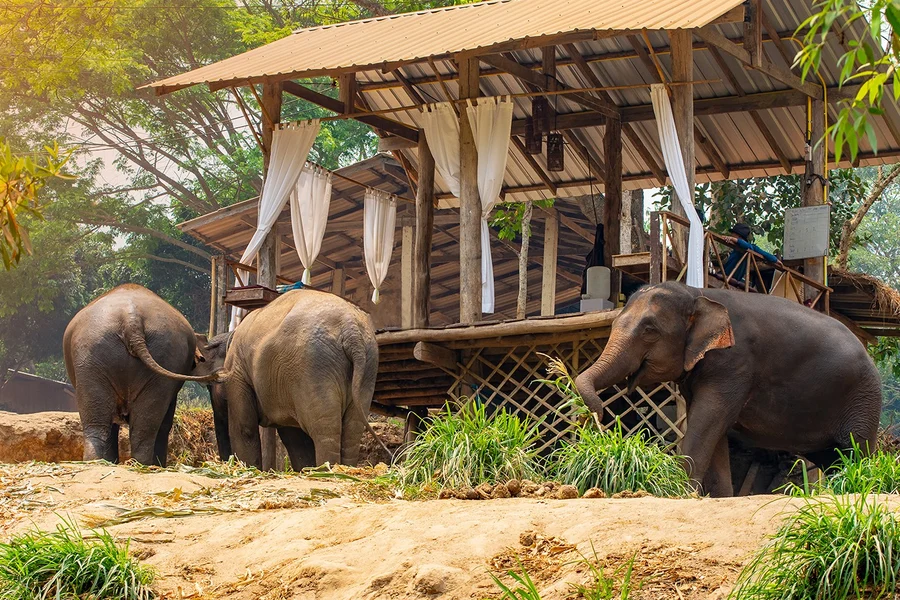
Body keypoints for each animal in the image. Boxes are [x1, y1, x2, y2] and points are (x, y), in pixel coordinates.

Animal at [216, 288, 379, 469]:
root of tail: (351, 330)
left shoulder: (237, 371)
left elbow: (245, 429)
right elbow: (295, 437)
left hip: (313, 366)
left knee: (324, 429)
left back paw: (327, 470)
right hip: (367, 365)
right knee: (352, 428)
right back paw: (343, 469)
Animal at [574, 281, 882, 496]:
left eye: (650, 330)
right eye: (613, 323)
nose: (598, 417)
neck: (697, 293)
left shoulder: (734, 363)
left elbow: (707, 420)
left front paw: (679, 492)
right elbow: (713, 429)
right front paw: (718, 497)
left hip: (863, 399)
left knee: (856, 450)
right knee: (834, 459)